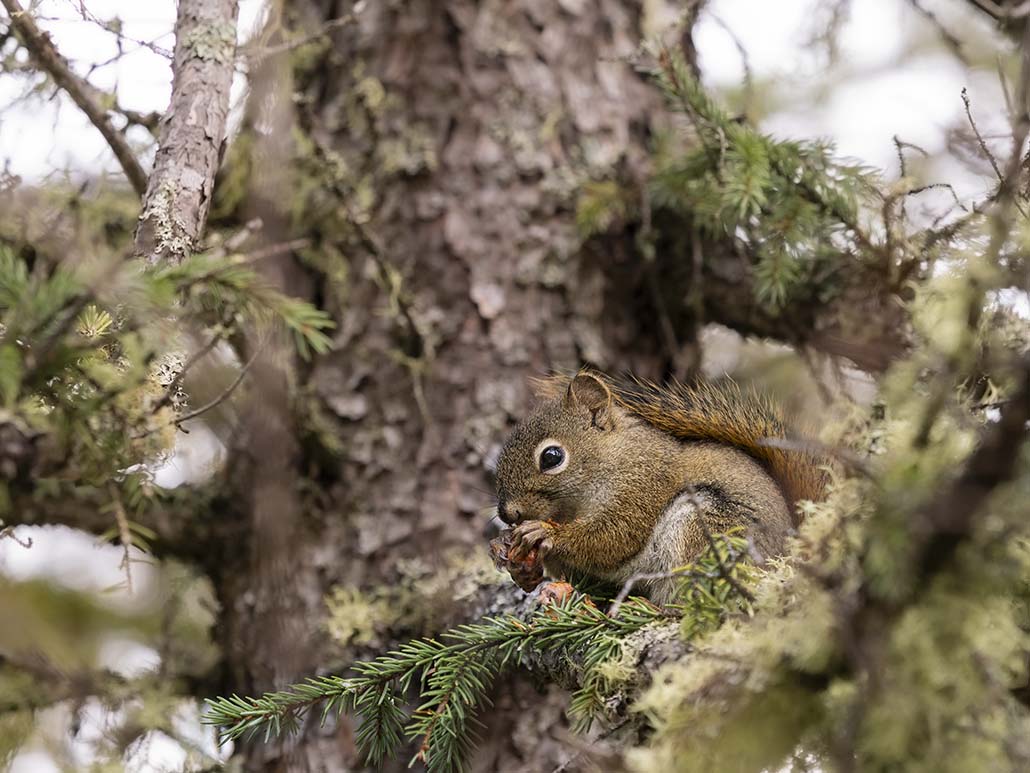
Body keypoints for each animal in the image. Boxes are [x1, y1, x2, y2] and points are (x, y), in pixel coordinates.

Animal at [494, 371, 824, 606]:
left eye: (552, 457)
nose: (508, 513)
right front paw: (505, 552)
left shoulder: (644, 487)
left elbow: (612, 539)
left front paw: (545, 533)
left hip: (707, 528)